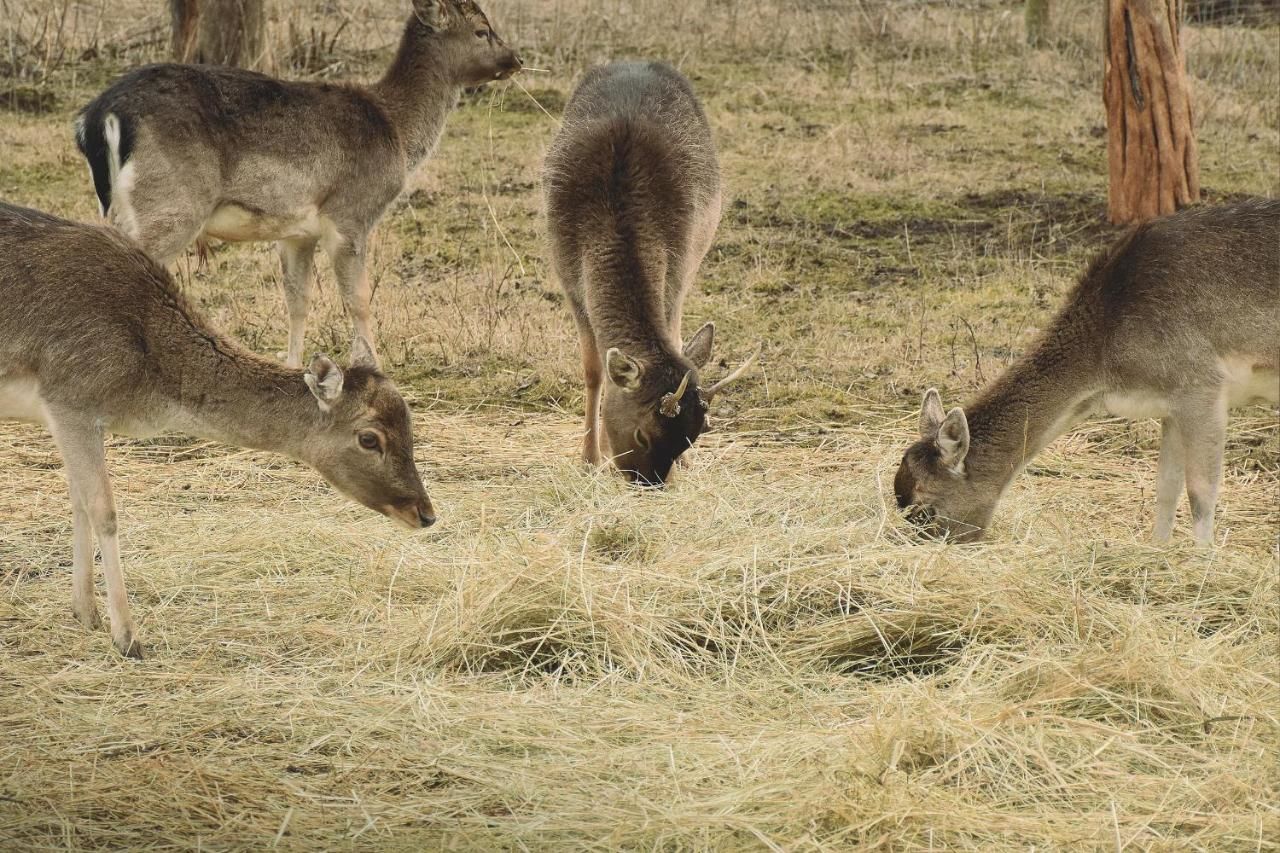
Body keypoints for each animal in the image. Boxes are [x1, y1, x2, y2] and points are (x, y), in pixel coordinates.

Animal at [0, 204, 437, 655]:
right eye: (369, 439)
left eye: (410, 425)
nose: (425, 513)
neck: (149, 374)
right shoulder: (70, 398)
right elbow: (104, 511)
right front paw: (128, 637)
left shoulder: (78, 418)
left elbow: (78, 504)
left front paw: (86, 615)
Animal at [73, 0, 519, 366]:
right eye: (482, 29)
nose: (516, 58)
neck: (395, 131)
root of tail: (95, 117)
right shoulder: (350, 213)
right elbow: (358, 299)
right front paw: (372, 364)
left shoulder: (296, 232)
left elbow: (297, 299)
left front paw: (293, 365)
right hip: (171, 202)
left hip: (123, 206)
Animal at [542, 61, 757, 484]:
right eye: (642, 434)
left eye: (692, 436)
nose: (652, 483)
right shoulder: (568, 276)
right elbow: (593, 370)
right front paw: (590, 458)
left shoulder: (678, 270)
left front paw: (687, 466)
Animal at [896, 198, 1274, 540]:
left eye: (925, 511)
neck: (1105, 368)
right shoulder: (1170, 404)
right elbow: (1166, 487)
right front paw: (1157, 553)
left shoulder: (1201, 382)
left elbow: (1201, 492)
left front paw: (1202, 563)